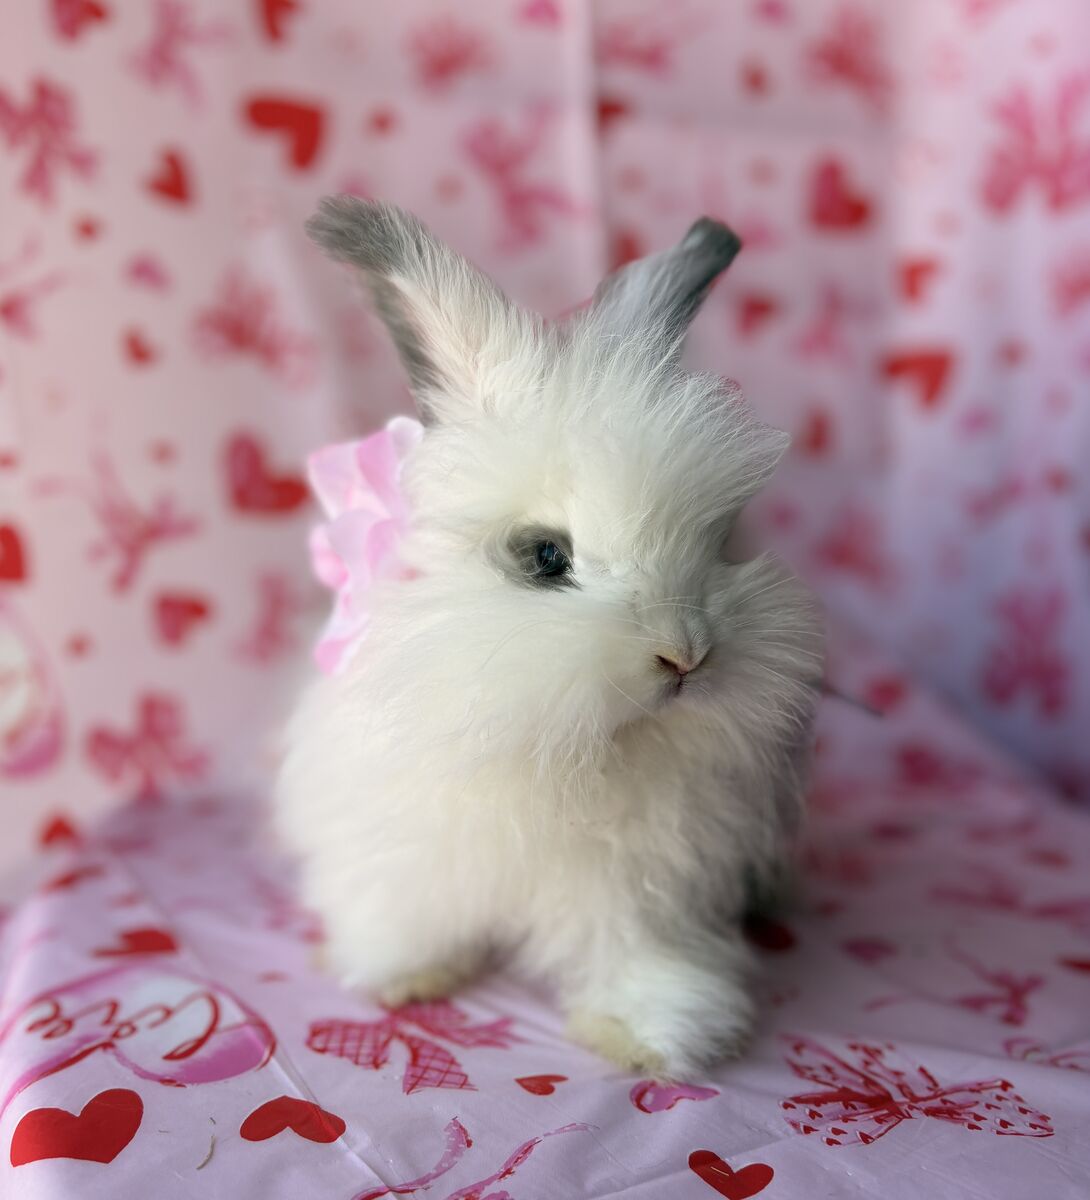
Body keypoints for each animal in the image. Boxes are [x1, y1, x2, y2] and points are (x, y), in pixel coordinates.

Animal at [275, 197, 824, 1080]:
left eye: (720, 542)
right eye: (544, 557)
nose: (686, 653)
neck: (559, 751)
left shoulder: (642, 889)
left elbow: (632, 955)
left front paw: (653, 1035)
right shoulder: (401, 849)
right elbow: (406, 915)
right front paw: (398, 976)